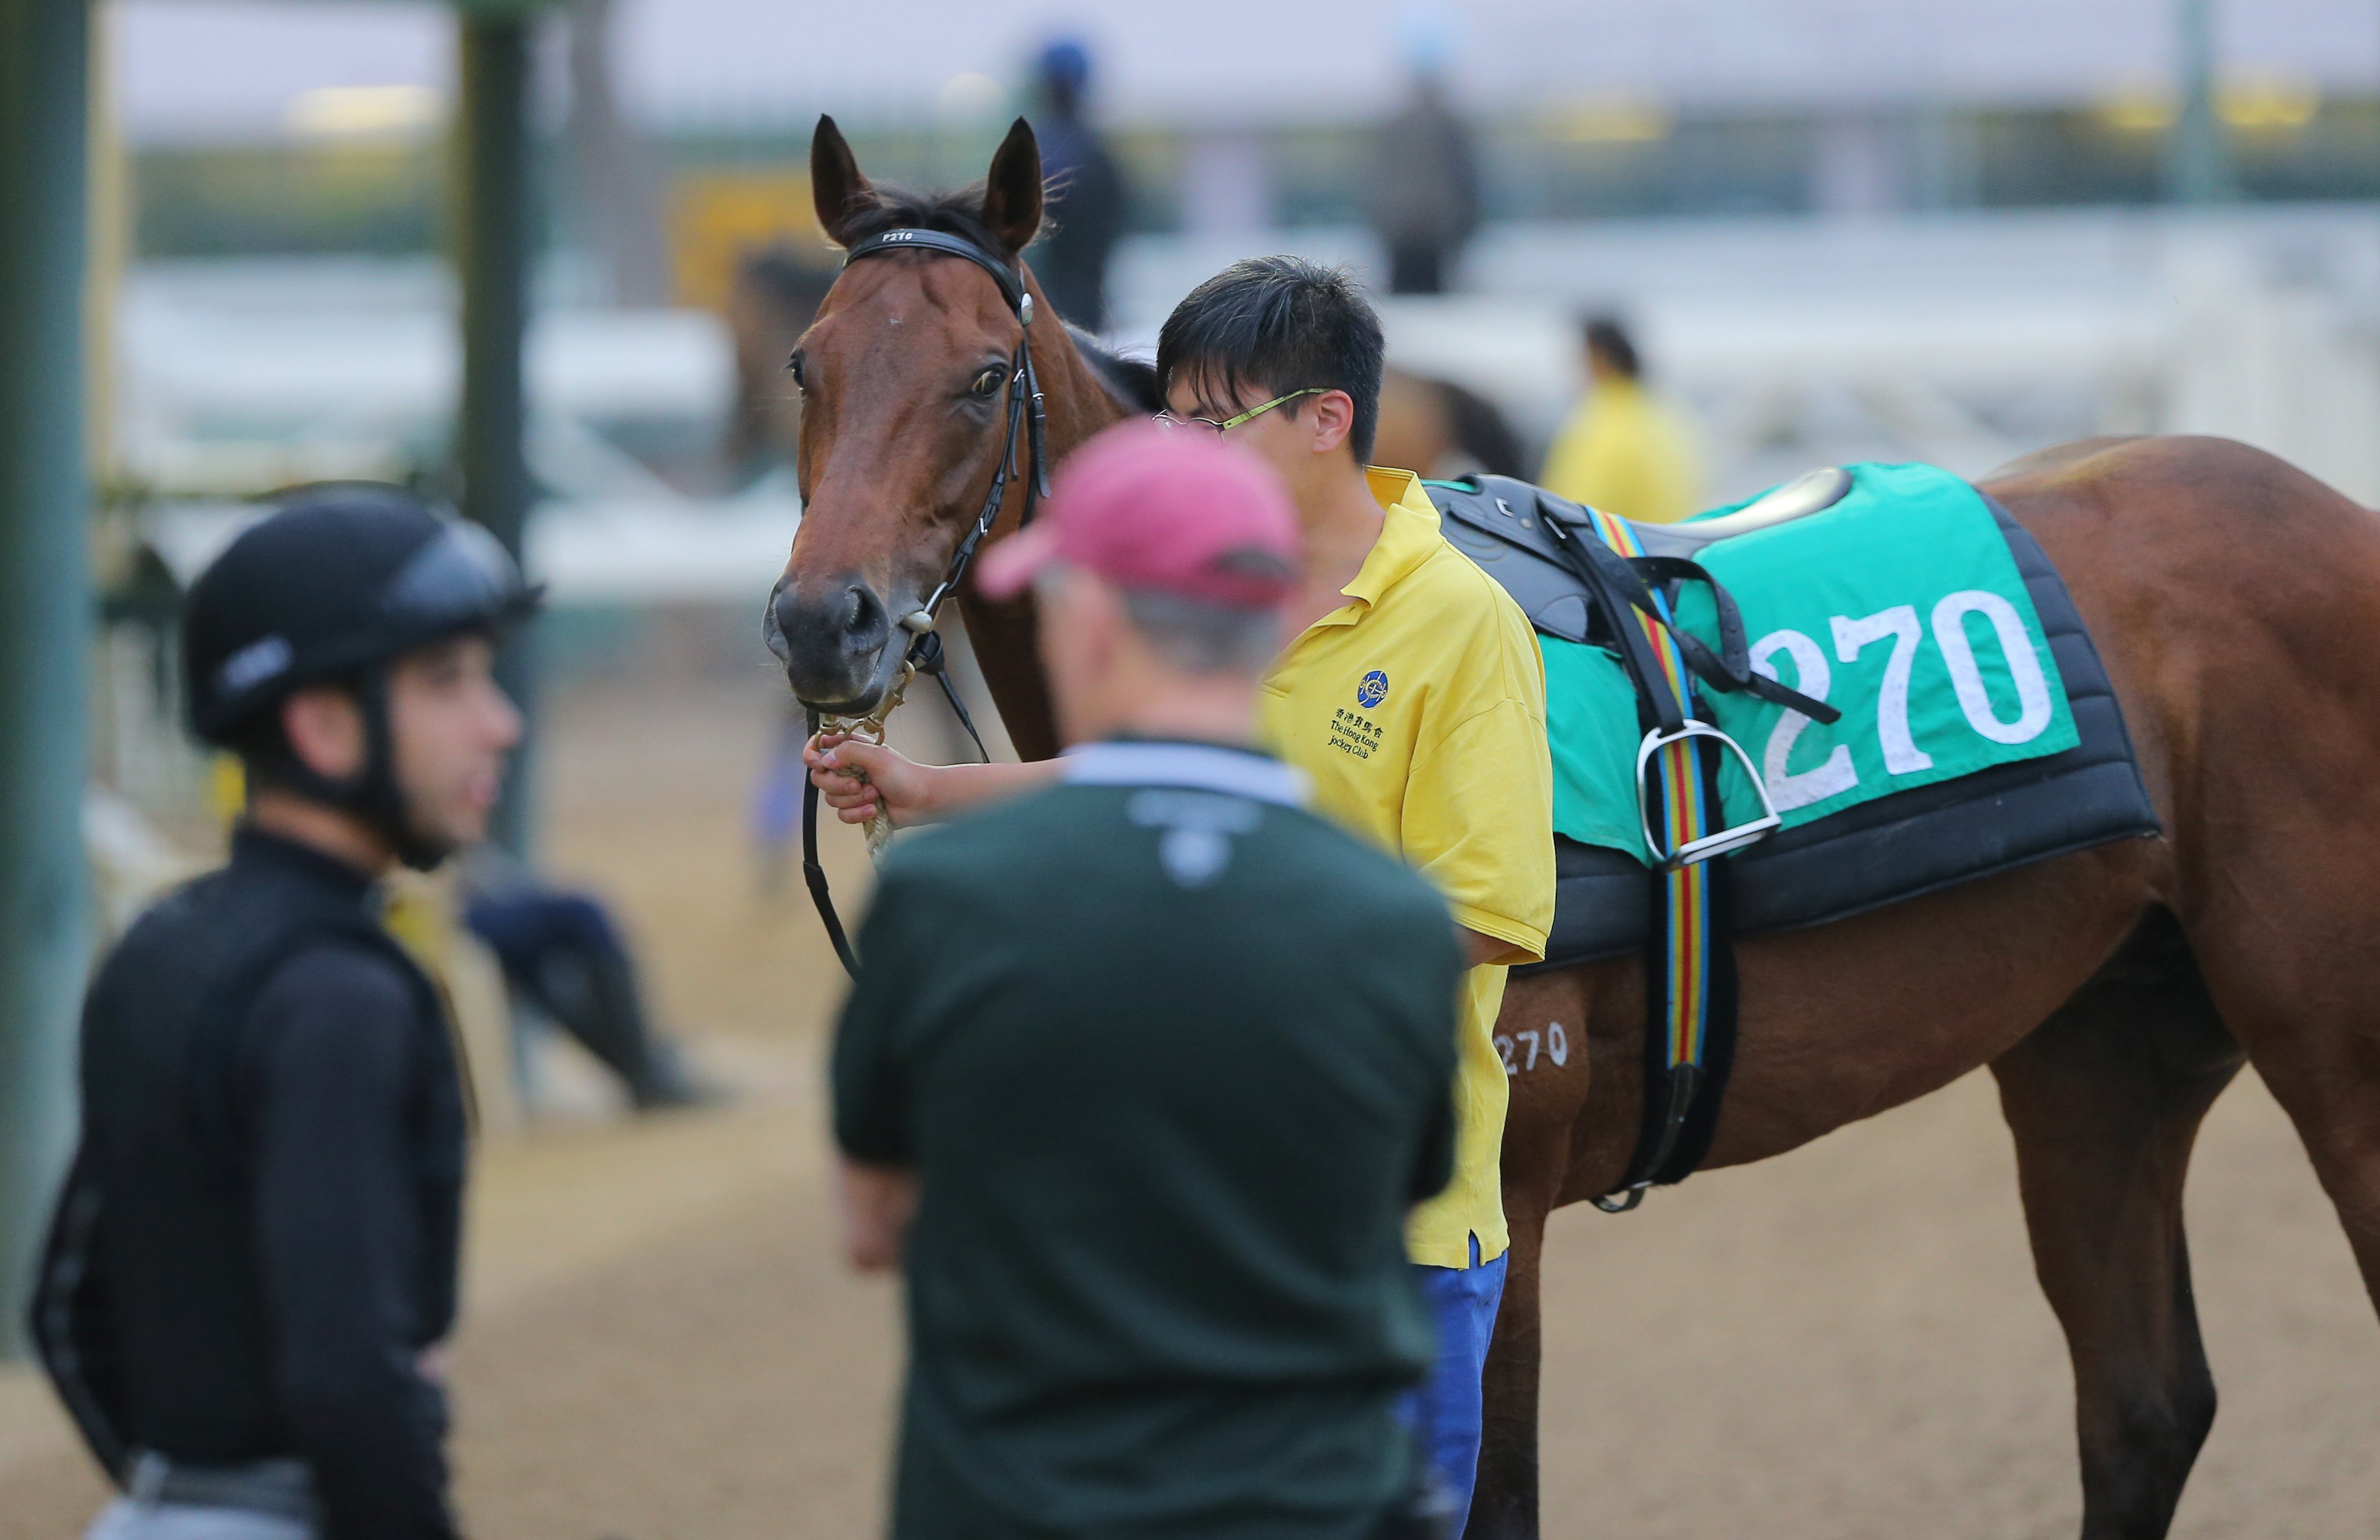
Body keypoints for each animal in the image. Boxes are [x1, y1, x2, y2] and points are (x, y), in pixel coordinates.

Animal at [766, 114, 2380, 1532]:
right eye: (806, 365)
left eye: (983, 374)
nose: (822, 623)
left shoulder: (1503, 1193)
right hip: (2101, 1040)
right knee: (2141, 1408)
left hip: (2327, 1041)